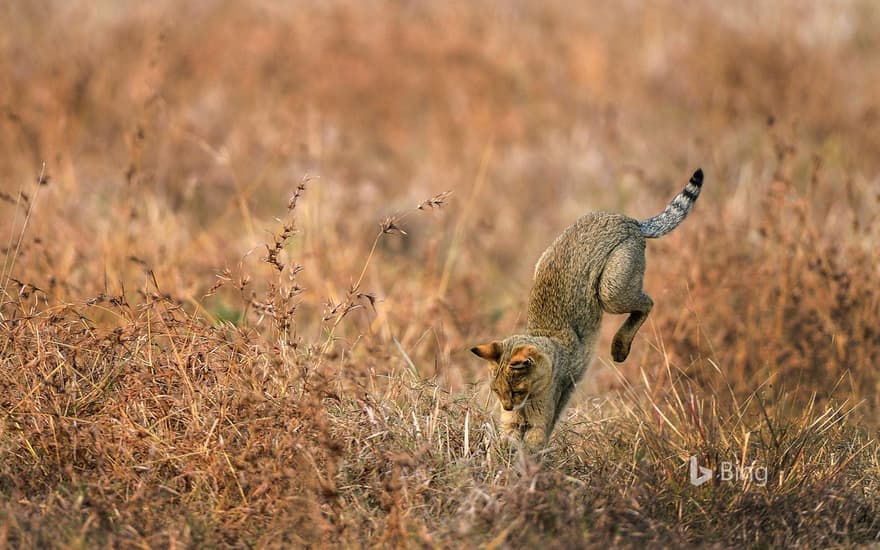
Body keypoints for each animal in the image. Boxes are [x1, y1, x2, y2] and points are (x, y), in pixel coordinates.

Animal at [470, 169, 704, 452]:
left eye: (515, 392)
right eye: (496, 391)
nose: (506, 406)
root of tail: (627, 219)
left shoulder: (541, 423)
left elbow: (531, 451)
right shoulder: (511, 426)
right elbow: (506, 446)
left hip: (611, 292)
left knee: (648, 302)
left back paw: (620, 346)